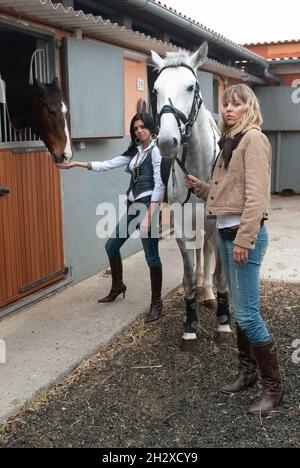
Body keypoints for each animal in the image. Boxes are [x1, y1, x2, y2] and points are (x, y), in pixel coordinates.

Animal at [152, 43, 232, 352]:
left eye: (190, 87)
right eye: (155, 90)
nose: (167, 142)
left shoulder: (218, 226)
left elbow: (220, 273)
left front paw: (223, 324)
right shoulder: (183, 227)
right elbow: (187, 276)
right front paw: (189, 329)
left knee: (207, 252)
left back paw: (207, 292)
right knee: (199, 253)